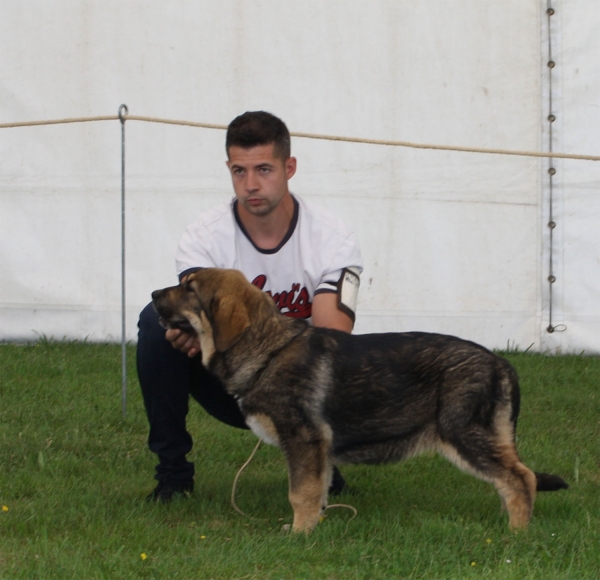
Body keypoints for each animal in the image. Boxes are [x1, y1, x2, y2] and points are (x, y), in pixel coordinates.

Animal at [151, 270, 568, 532]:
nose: (153, 295)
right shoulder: (316, 450)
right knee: (512, 479)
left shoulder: (303, 439)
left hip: (463, 434)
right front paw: (312, 527)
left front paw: (299, 534)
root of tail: (501, 364)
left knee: (521, 478)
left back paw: (515, 533)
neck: (268, 348)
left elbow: (300, 492)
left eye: (189, 287)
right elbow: (316, 490)